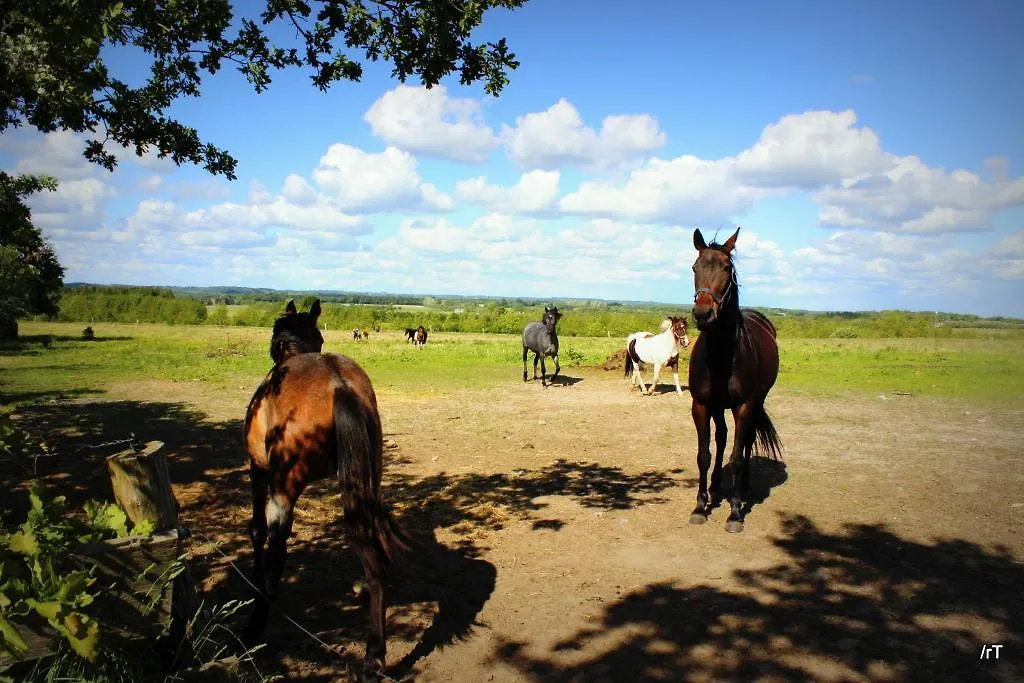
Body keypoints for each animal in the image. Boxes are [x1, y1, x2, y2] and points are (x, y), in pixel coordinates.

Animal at [242, 299, 403, 679]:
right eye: (320, 334)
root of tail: (340, 388)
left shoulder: (258, 470)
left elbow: (258, 532)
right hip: (366, 486)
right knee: (374, 558)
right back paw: (374, 655)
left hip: (284, 488)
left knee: (278, 547)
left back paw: (257, 622)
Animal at [688, 227, 782, 532]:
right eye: (695, 267)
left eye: (727, 268)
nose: (703, 313)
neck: (721, 354)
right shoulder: (701, 406)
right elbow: (704, 455)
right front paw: (700, 506)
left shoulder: (744, 406)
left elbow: (738, 457)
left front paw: (736, 512)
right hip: (719, 407)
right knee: (721, 437)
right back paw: (717, 486)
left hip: (756, 402)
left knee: (748, 439)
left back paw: (744, 486)